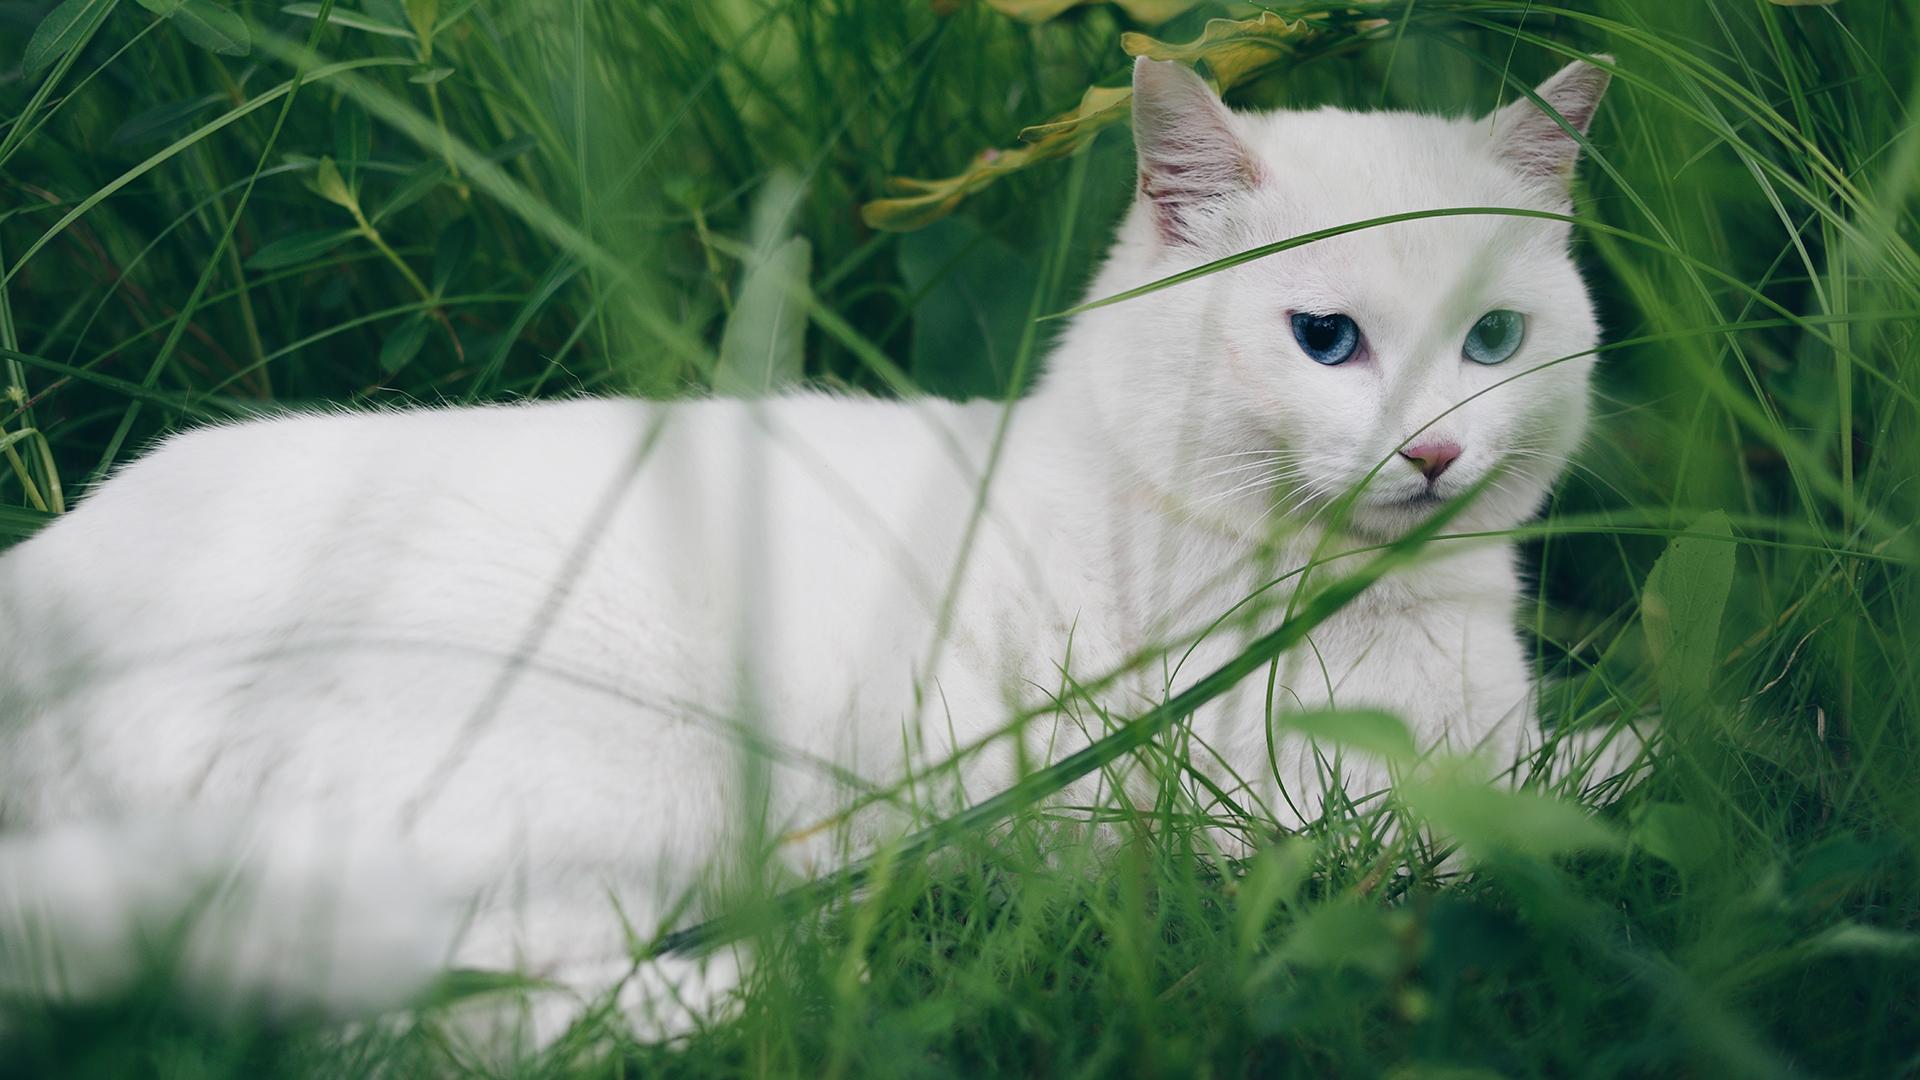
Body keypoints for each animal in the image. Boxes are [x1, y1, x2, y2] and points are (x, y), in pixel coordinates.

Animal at [0, 56, 1612, 1045]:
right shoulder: (1277, 803)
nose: (1435, 453)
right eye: (1324, 339)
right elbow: (1539, 804)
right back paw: (793, 975)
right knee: (440, 1023)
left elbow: (1594, 752)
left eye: (1494, 339)